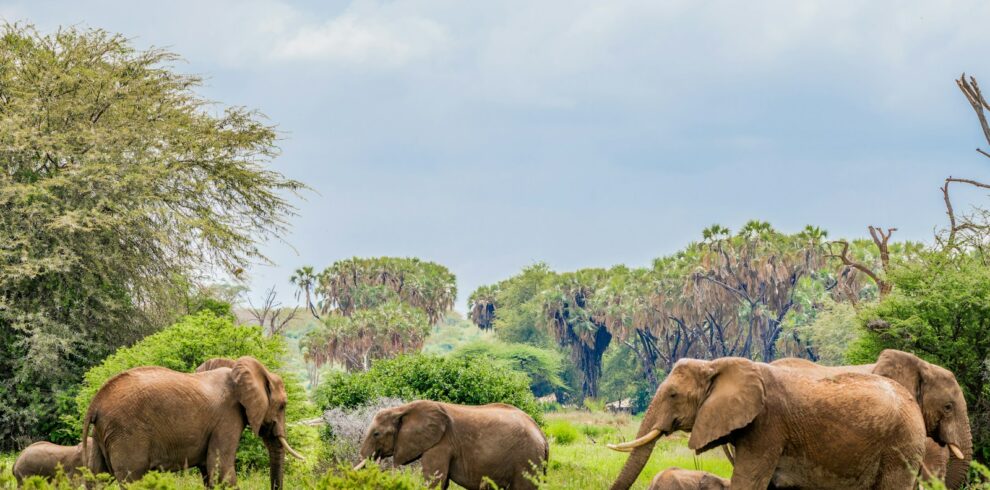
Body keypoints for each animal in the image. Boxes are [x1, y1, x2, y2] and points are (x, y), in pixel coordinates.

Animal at [82, 356, 302, 490]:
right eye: (283, 405)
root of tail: (95, 402)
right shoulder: (227, 417)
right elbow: (221, 469)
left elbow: (209, 471)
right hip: (127, 432)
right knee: (132, 479)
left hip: (103, 433)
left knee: (97, 478)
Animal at [354, 400, 552, 488]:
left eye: (376, 434)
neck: (402, 409)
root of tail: (542, 436)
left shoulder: (441, 444)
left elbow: (434, 481)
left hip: (526, 458)